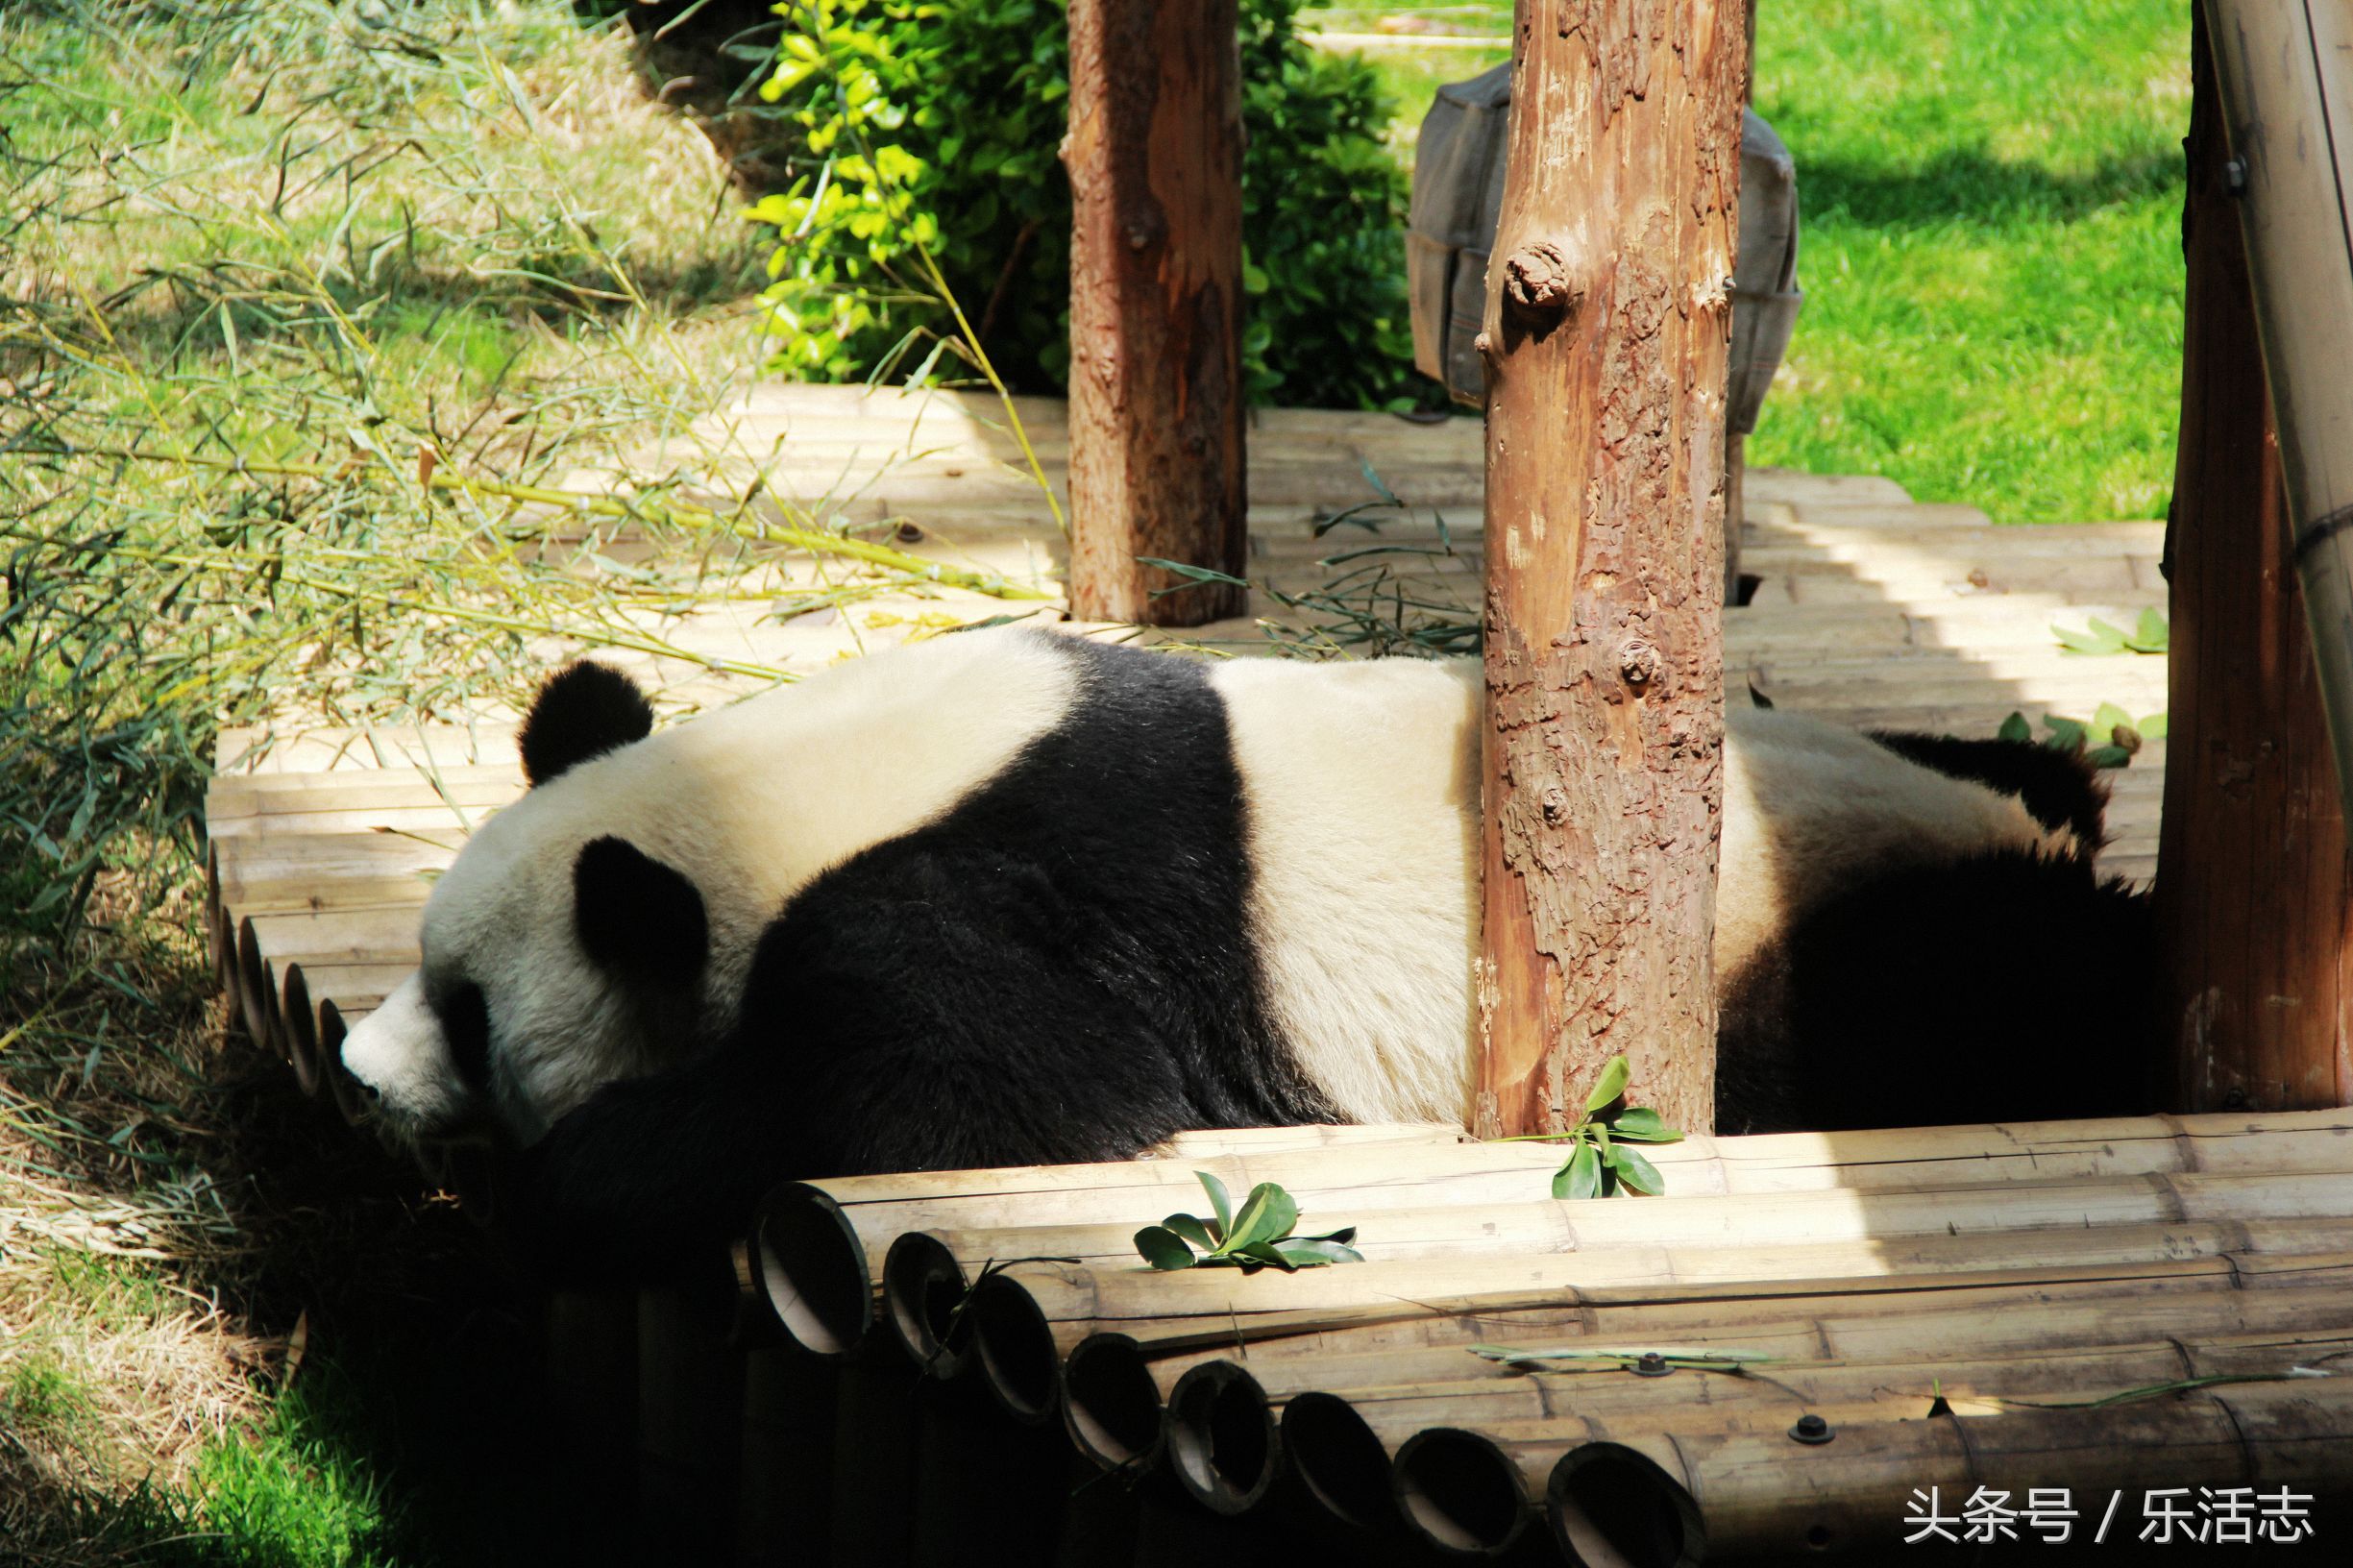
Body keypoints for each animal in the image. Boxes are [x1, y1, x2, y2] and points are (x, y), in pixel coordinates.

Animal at [341, 617, 2155, 1281]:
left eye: (469, 1009)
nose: (357, 1071)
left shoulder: (1000, 888)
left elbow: (978, 1083)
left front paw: (591, 1166)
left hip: (1822, 928)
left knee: (1992, 990)